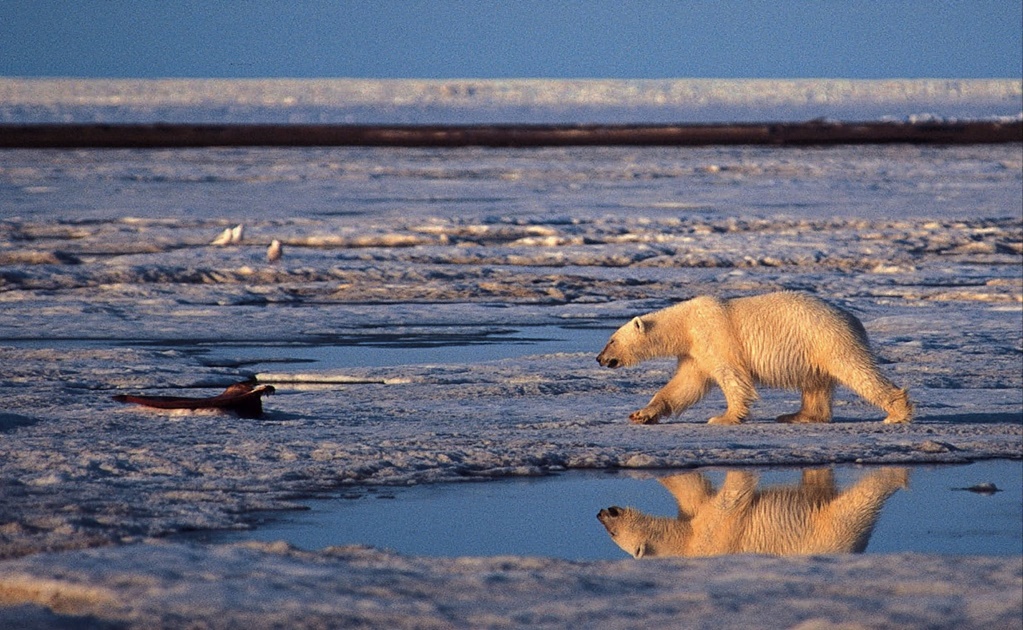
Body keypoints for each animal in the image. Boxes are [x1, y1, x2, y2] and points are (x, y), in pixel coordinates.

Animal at [597, 290, 916, 423]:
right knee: (815, 383)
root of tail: (853, 318)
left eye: (611, 340)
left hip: (827, 338)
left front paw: (724, 417)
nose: (599, 358)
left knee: (857, 370)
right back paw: (798, 415)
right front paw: (642, 414)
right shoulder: (694, 352)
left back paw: (896, 413)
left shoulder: (715, 336)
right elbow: (685, 385)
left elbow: (731, 376)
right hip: (814, 349)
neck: (685, 324)